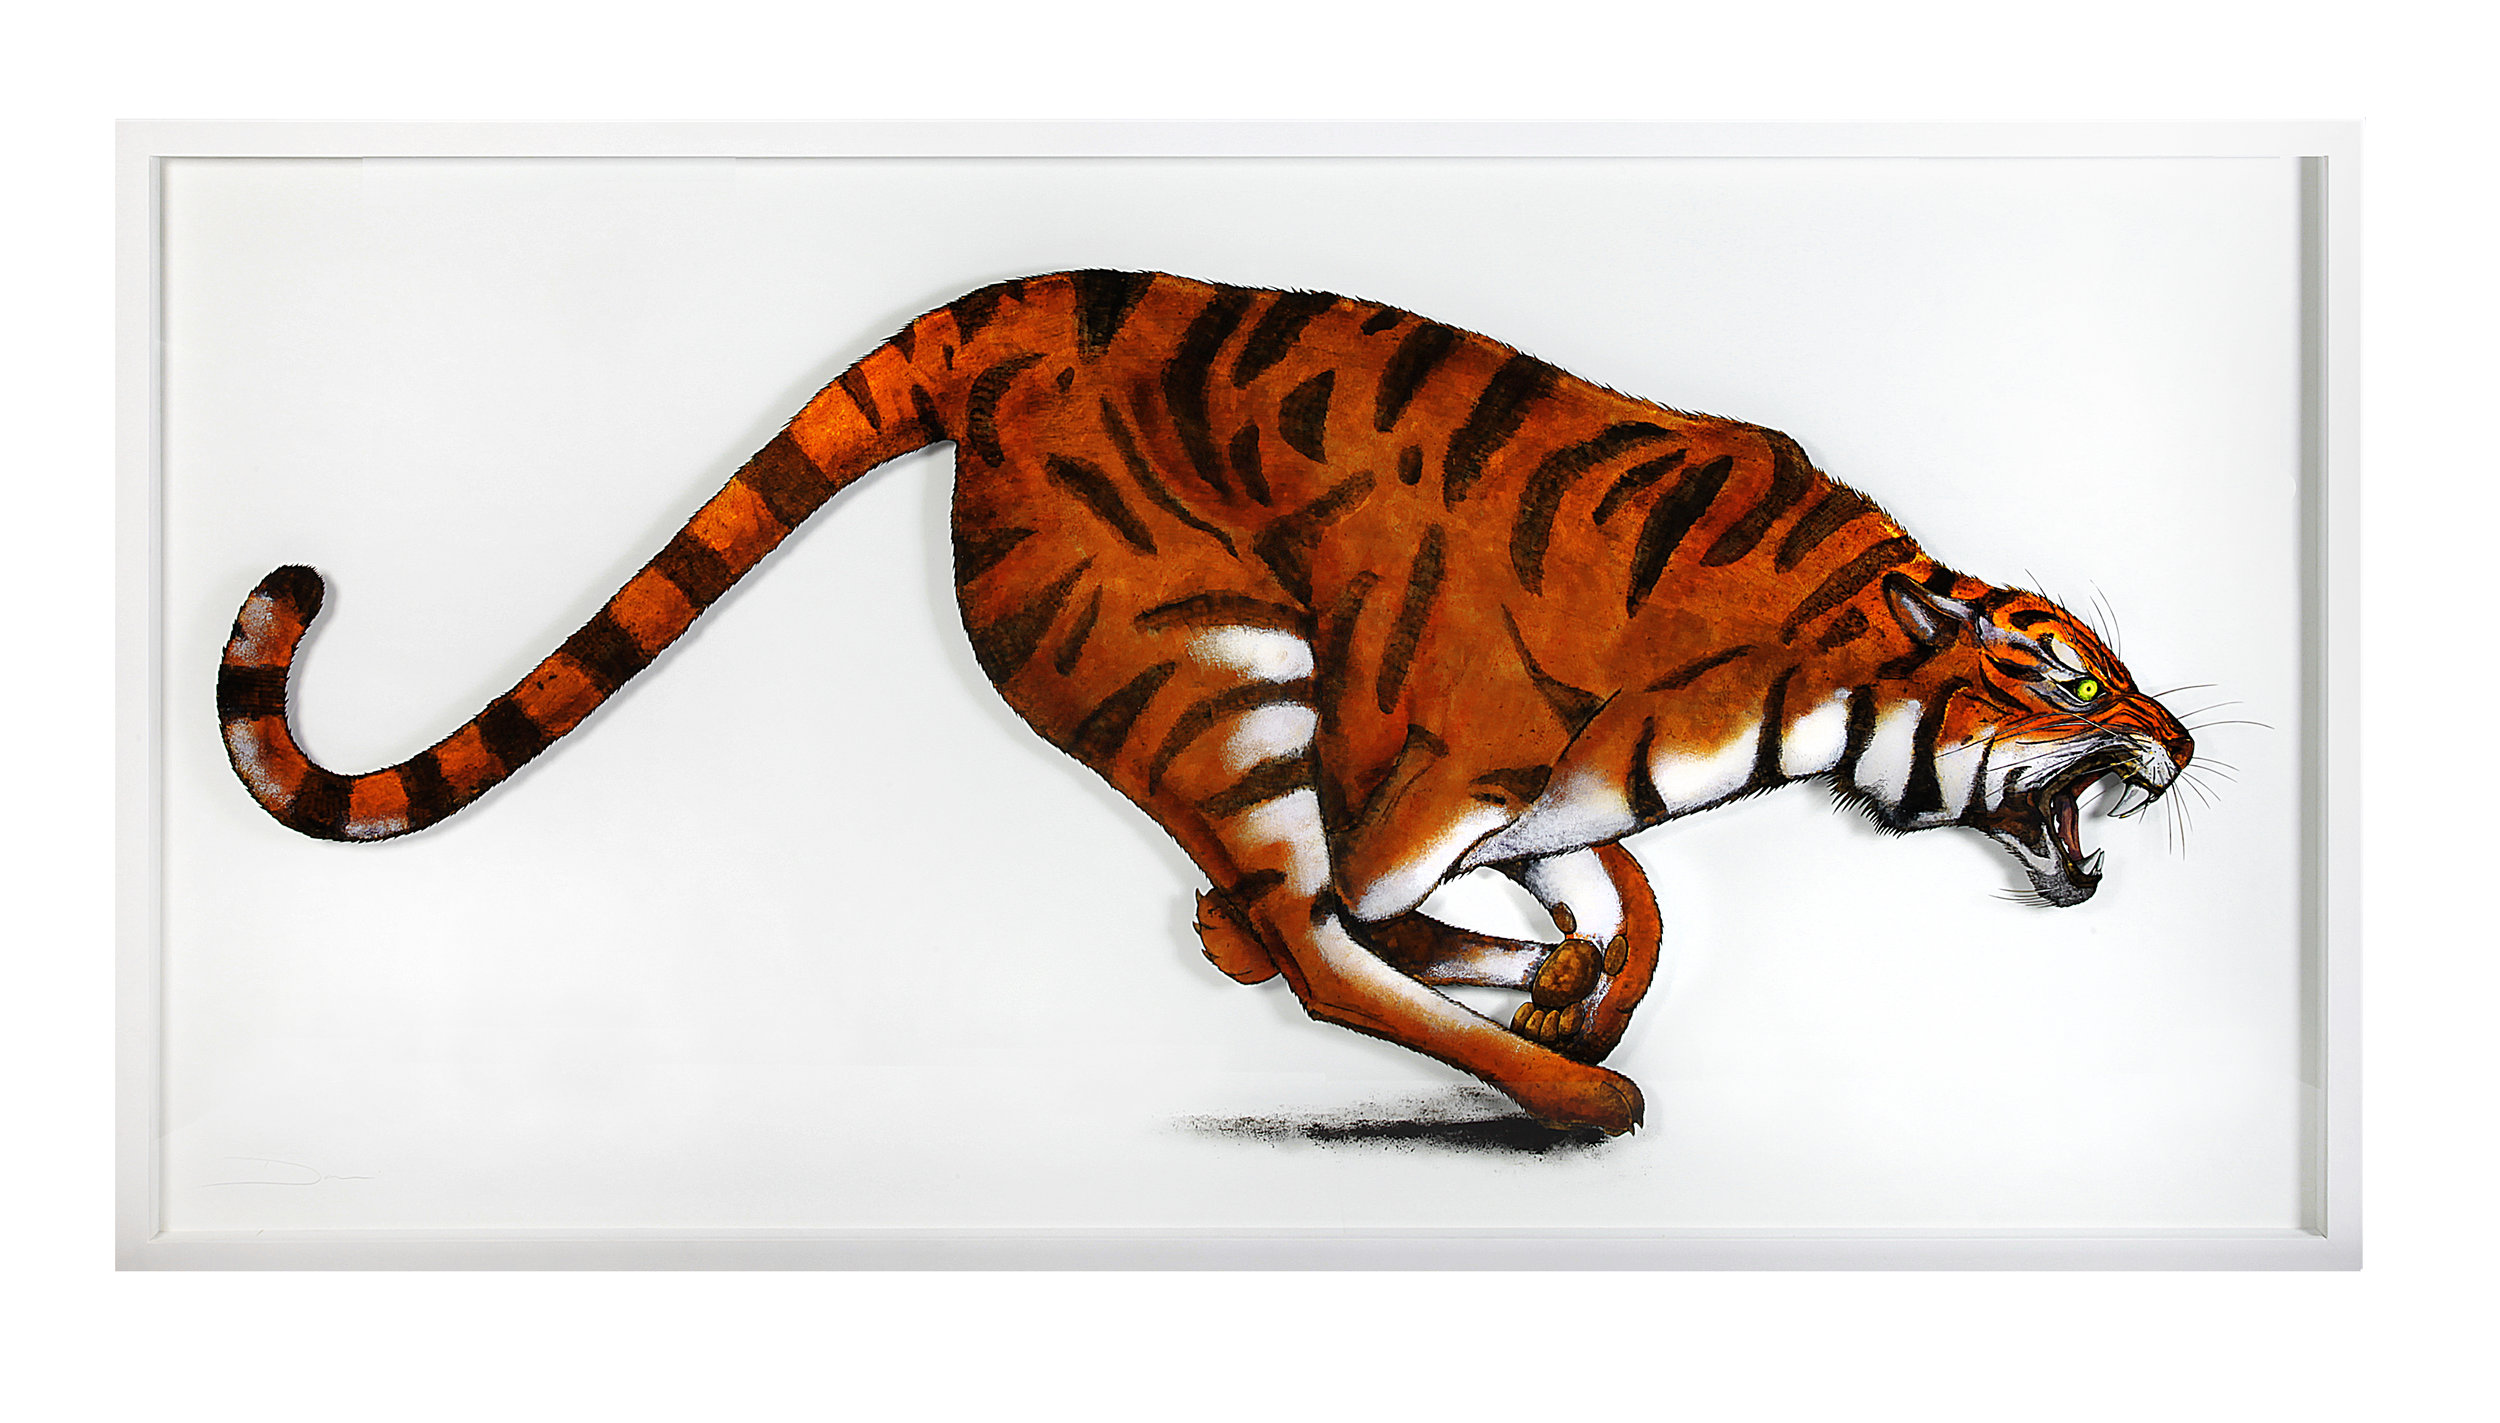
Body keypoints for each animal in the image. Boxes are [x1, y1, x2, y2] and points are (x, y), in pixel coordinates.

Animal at [218, 270, 2195, 1137]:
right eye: (2062, 671)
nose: (2177, 742)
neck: (1804, 669)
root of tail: (999, 307)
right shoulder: (1408, 772)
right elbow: (1392, 908)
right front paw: (1561, 1003)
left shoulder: (1541, 799)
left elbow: (1601, 890)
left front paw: (1572, 964)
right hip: (1206, 660)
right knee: (1308, 934)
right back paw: (1571, 1092)